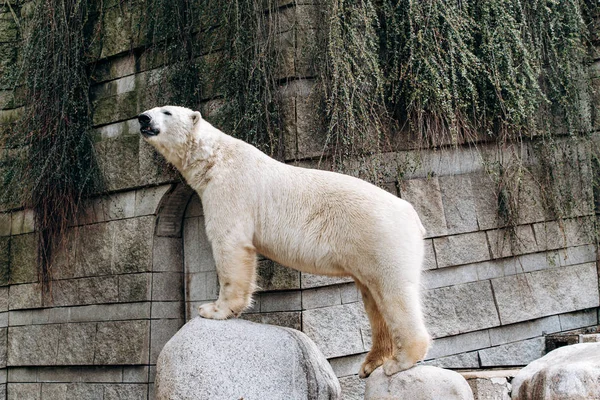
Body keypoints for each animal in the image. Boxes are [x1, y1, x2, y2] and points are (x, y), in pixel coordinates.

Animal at [139, 104, 432, 376]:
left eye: (167, 112)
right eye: (153, 110)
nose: (143, 117)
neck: (214, 158)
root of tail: (414, 218)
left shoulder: (230, 189)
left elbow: (230, 243)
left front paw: (213, 309)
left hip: (382, 237)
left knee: (395, 292)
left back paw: (399, 361)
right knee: (374, 298)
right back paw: (371, 363)